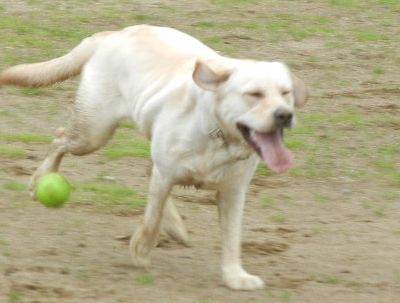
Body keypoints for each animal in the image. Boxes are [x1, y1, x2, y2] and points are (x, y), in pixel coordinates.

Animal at [0, 25, 310, 290]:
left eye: (286, 93)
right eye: (254, 94)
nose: (284, 115)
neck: (218, 136)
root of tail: (112, 33)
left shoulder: (233, 192)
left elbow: (232, 238)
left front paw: (235, 276)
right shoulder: (166, 174)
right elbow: (151, 219)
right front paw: (140, 250)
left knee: (146, 170)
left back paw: (175, 227)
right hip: (92, 133)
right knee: (60, 138)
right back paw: (40, 179)